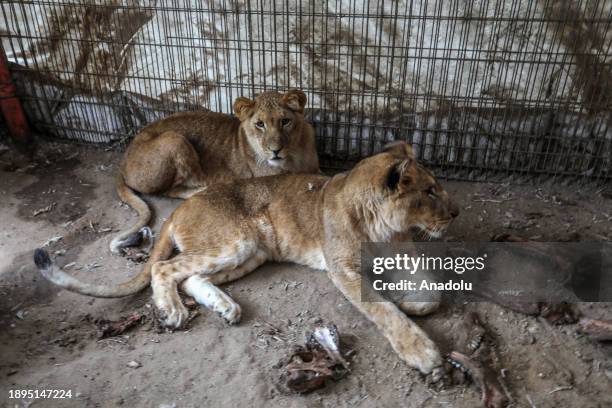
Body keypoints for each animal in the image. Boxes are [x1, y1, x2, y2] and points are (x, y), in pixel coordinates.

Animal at [31, 142, 456, 374]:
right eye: (429, 191)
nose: (455, 215)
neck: (381, 228)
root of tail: (179, 210)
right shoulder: (343, 269)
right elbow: (382, 310)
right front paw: (421, 351)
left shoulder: (404, 252)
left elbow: (432, 294)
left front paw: (410, 301)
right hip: (234, 241)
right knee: (165, 268)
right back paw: (173, 312)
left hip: (252, 252)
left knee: (191, 277)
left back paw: (225, 308)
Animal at [111, 90, 320, 253]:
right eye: (260, 124)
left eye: (285, 121)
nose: (275, 150)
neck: (293, 156)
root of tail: (123, 160)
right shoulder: (270, 180)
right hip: (174, 139)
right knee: (169, 190)